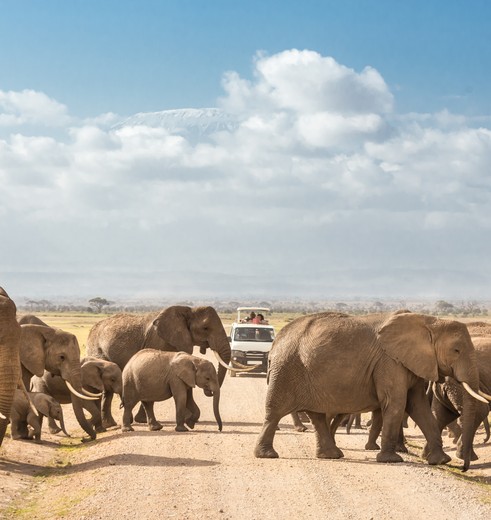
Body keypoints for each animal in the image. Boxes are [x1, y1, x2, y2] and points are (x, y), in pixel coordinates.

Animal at [87, 304, 244, 426]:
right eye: (205, 328)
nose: (209, 392)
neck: (188, 310)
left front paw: (188, 419)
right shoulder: (158, 340)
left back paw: (113, 423)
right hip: (97, 350)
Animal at [256, 310, 486, 474]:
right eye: (456, 350)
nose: (463, 468)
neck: (430, 321)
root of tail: (276, 341)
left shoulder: (411, 364)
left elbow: (418, 406)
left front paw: (441, 461)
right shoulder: (390, 362)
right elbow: (397, 403)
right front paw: (391, 460)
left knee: (317, 415)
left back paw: (332, 455)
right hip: (286, 369)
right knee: (274, 412)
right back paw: (267, 455)